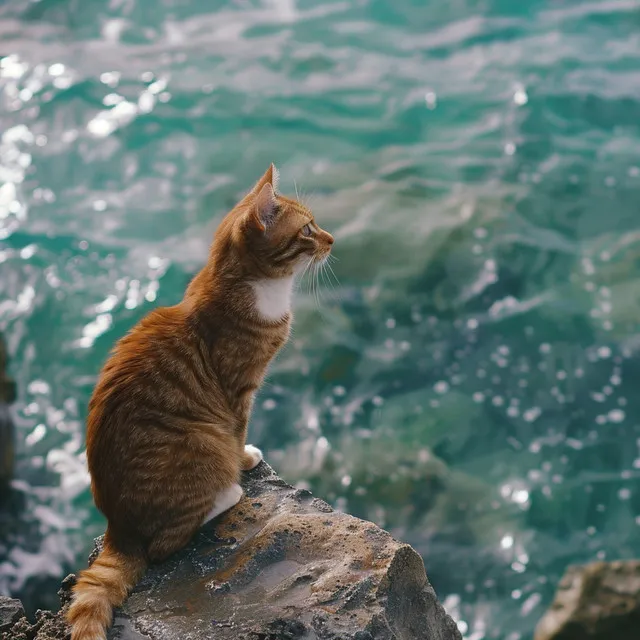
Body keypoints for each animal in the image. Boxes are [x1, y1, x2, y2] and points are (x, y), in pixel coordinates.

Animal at [65, 165, 336, 640]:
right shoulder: (238, 390)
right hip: (199, 441)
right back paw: (229, 490)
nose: (332, 239)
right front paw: (244, 460)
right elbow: (238, 431)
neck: (253, 287)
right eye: (307, 230)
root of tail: (118, 526)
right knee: (164, 544)